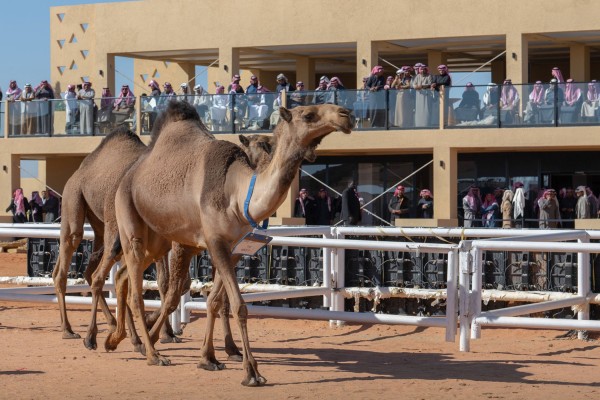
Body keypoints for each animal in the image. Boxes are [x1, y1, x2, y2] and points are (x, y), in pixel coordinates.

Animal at [106, 101, 354, 386]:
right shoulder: (214, 241)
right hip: (129, 218)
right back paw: (152, 354)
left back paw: (115, 339)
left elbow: (215, 301)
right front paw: (251, 372)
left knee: (123, 275)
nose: (346, 115)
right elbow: (238, 306)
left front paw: (209, 358)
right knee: (136, 291)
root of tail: (128, 175)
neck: (237, 194)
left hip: (158, 240)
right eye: (308, 115)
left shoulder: (234, 248)